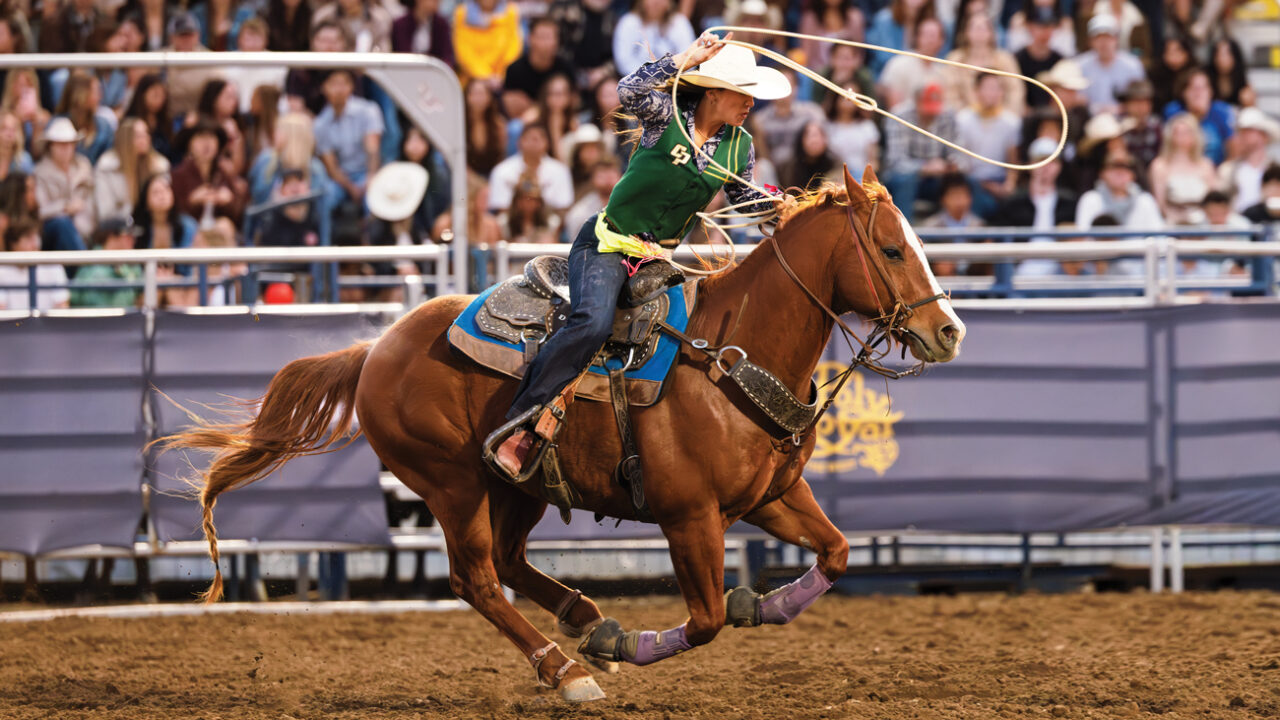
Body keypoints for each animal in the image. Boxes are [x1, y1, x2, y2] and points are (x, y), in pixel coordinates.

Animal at [160, 165, 966, 702]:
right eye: (892, 251)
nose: (949, 331)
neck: (728, 356)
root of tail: (375, 349)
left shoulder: (771, 497)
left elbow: (835, 553)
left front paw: (758, 605)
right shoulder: (690, 517)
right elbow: (705, 620)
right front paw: (641, 643)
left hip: (516, 484)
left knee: (511, 563)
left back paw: (588, 624)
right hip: (451, 484)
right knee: (477, 578)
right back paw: (569, 667)